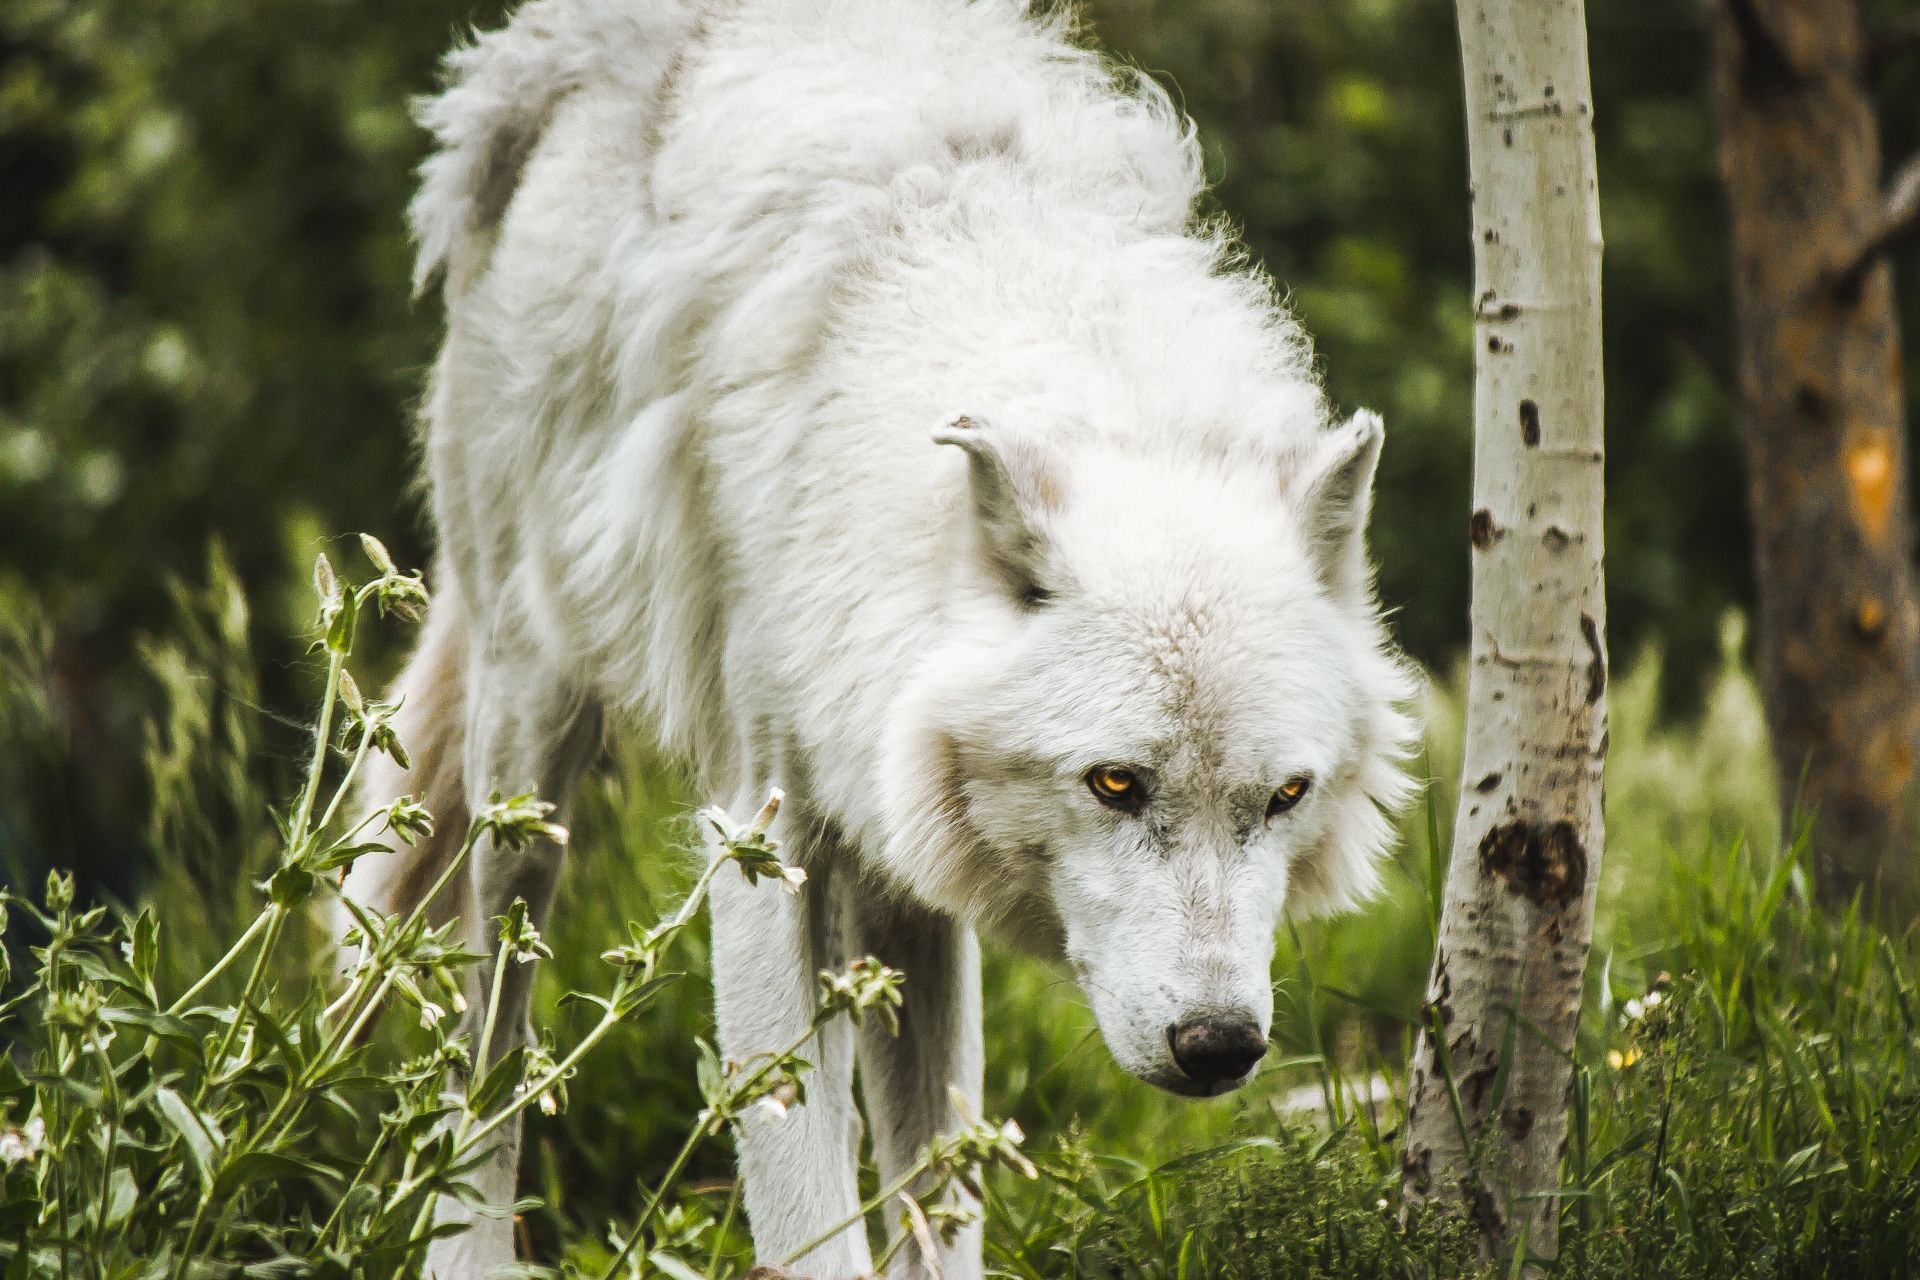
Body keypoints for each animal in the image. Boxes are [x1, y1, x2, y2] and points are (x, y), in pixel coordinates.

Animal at [345, 2, 1420, 1280]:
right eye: (1116, 782)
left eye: (1286, 794)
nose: (1220, 1044)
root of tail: (522, 58)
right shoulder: (763, 849)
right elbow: (809, 1208)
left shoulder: (905, 871)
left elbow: (939, 1200)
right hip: (530, 748)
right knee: (488, 1020)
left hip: (886, 871)